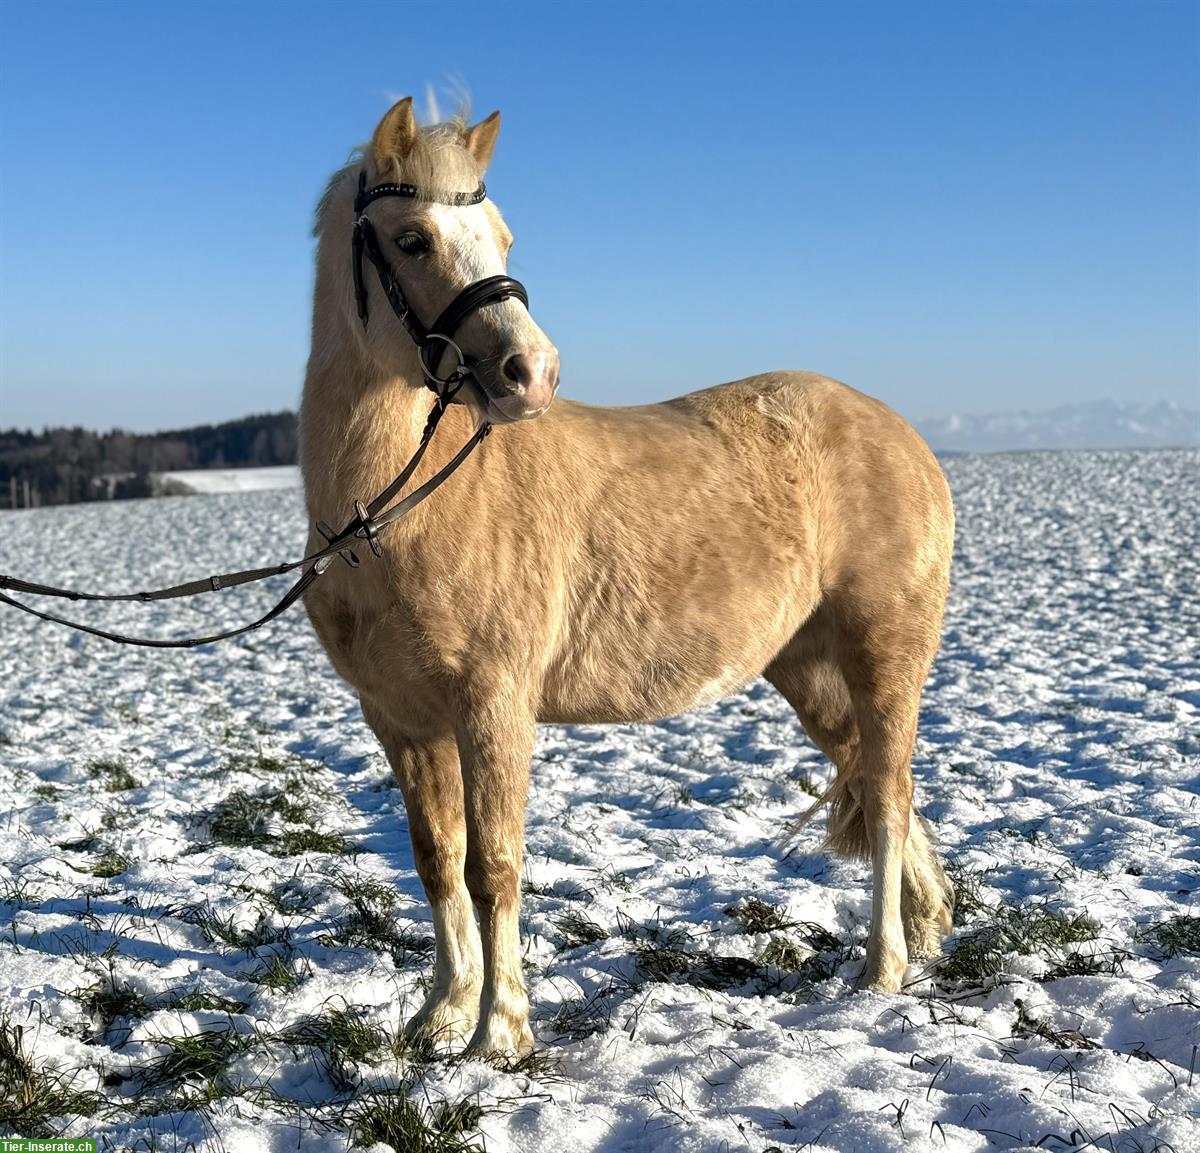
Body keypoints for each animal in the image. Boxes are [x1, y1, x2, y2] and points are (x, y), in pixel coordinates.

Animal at [300, 97, 956, 1059]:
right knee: (880, 788)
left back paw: (881, 967)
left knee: (888, 790)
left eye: (502, 234)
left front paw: (498, 1034)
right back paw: (927, 928)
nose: (531, 374)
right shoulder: (401, 721)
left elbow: (494, 865)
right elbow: (437, 860)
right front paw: (442, 1013)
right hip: (809, 670)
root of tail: (904, 435)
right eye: (413, 238)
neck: (401, 510)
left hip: (885, 654)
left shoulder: (494, 705)